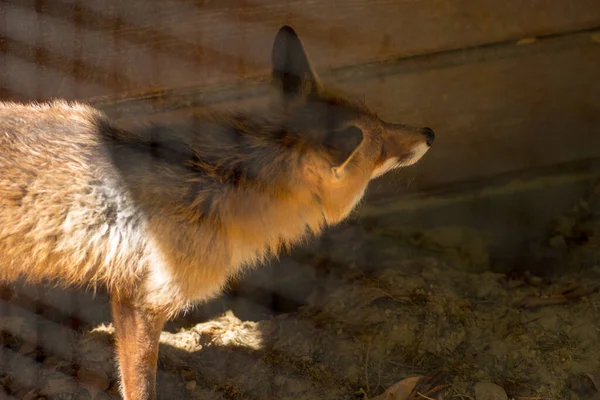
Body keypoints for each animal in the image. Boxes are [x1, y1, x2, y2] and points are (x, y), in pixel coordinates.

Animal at [0, 25, 434, 400]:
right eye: (379, 148)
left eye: (379, 117)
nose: (429, 133)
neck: (217, 180)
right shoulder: (142, 301)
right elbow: (140, 386)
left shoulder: (126, 293)